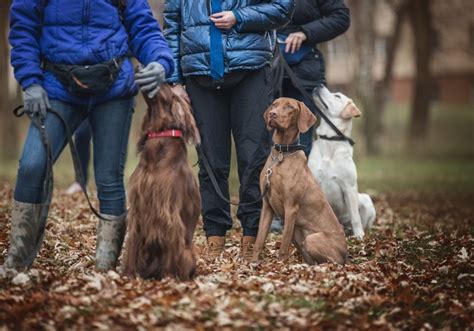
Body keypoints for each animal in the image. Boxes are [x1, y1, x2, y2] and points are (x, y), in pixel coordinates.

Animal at [123, 83, 201, 280]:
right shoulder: (137, 209)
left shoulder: (168, 211)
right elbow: (133, 246)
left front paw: (168, 276)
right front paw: (128, 275)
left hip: (188, 253)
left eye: (166, 85)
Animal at [252, 98, 348, 264]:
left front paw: (280, 266)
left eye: (290, 107)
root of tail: (346, 253)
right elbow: (259, 240)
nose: (272, 114)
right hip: (298, 233)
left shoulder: (291, 207)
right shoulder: (267, 205)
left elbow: (283, 247)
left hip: (311, 238)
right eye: (274, 105)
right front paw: (251, 263)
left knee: (332, 262)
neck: (282, 153)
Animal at [308, 85, 378, 239]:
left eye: (337, 96)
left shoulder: (349, 186)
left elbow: (355, 216)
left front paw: (359, 236)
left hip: (365, 199)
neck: (330, 139)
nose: (319, 85)